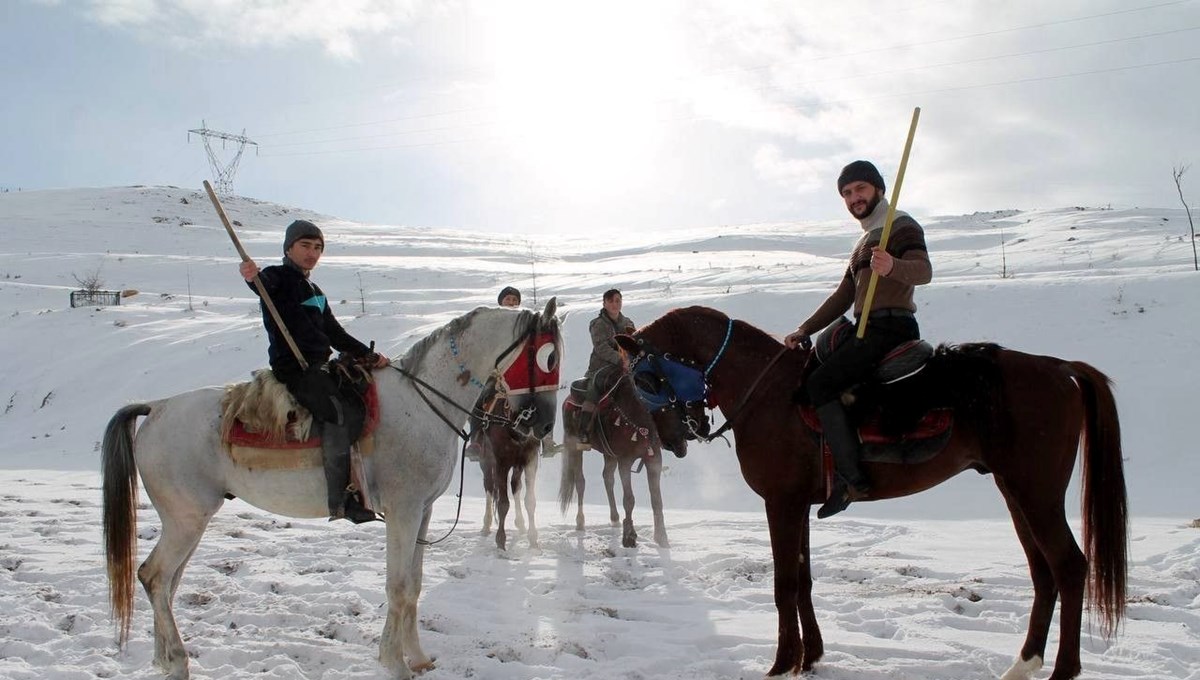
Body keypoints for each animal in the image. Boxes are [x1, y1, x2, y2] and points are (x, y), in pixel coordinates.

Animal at [100, 302, 559, 680]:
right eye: (548, 358)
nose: (543, 425)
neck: (423, 401)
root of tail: (157, 407)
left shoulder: (423, 513)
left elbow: (413, 585)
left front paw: (417, 657)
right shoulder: (404, 513)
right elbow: (397, 587)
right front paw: (394, 663)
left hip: (187, 521)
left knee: (167, 583)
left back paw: (163, 659)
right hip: (186, 520)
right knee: (154, 576)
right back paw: (178, 662)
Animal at [619, 307, 1123, 680]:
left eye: (643, 379)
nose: (673, 440)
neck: (768, 392)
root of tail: (1058, 367)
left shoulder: (781, 504)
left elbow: (785, 585)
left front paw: (782, 663)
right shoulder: (798, 505)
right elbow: (803, 581)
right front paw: (810, 657)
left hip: (1036, 494)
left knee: (1069, 567)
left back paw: (1062, 670)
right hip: (1017, 493)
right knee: (1044, 574)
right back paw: (1023, 664)